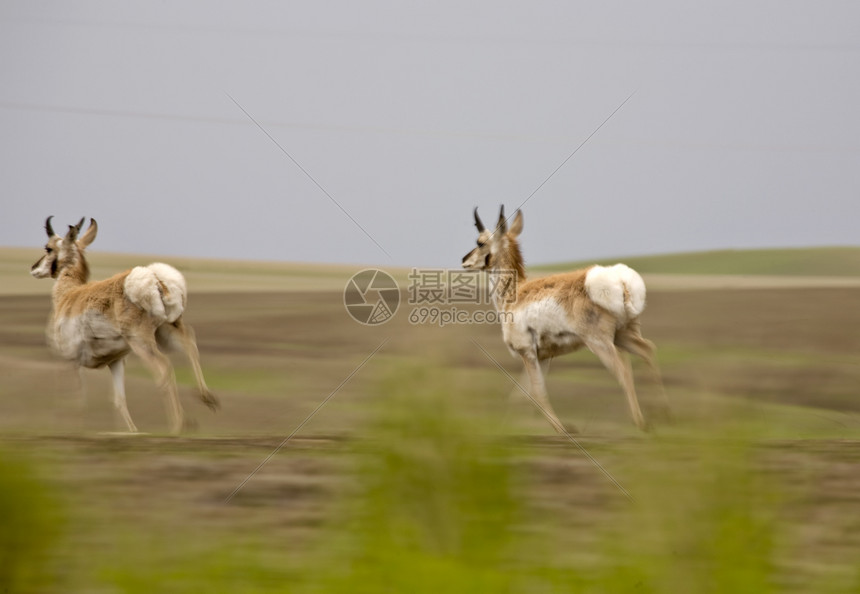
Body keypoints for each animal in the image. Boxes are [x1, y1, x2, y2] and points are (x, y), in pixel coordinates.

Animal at [31, 216, 218, 430]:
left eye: (48, 248)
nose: (33, 268)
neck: (69, 294)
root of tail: (155, 279)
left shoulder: (69, 359)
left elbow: (73, 398)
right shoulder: (116, 361)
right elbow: (119, 400)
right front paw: (131, 431)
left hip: (140, 342)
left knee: (164, 368)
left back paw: (178, 425)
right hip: (167, 331)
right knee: (190, 345)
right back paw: (207, 399)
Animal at [464, 205, 664, 430]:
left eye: (480, 242)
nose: (464, 260)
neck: (515, 293)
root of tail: (620, 281)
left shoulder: (527, 353)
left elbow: (537, 392)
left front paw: (560, 428)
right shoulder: (543, 357)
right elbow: (523, 394)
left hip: (600, 343)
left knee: (624, 370)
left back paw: (640, 422)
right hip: (623, 336)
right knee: (648, 350)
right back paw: (663, 413)